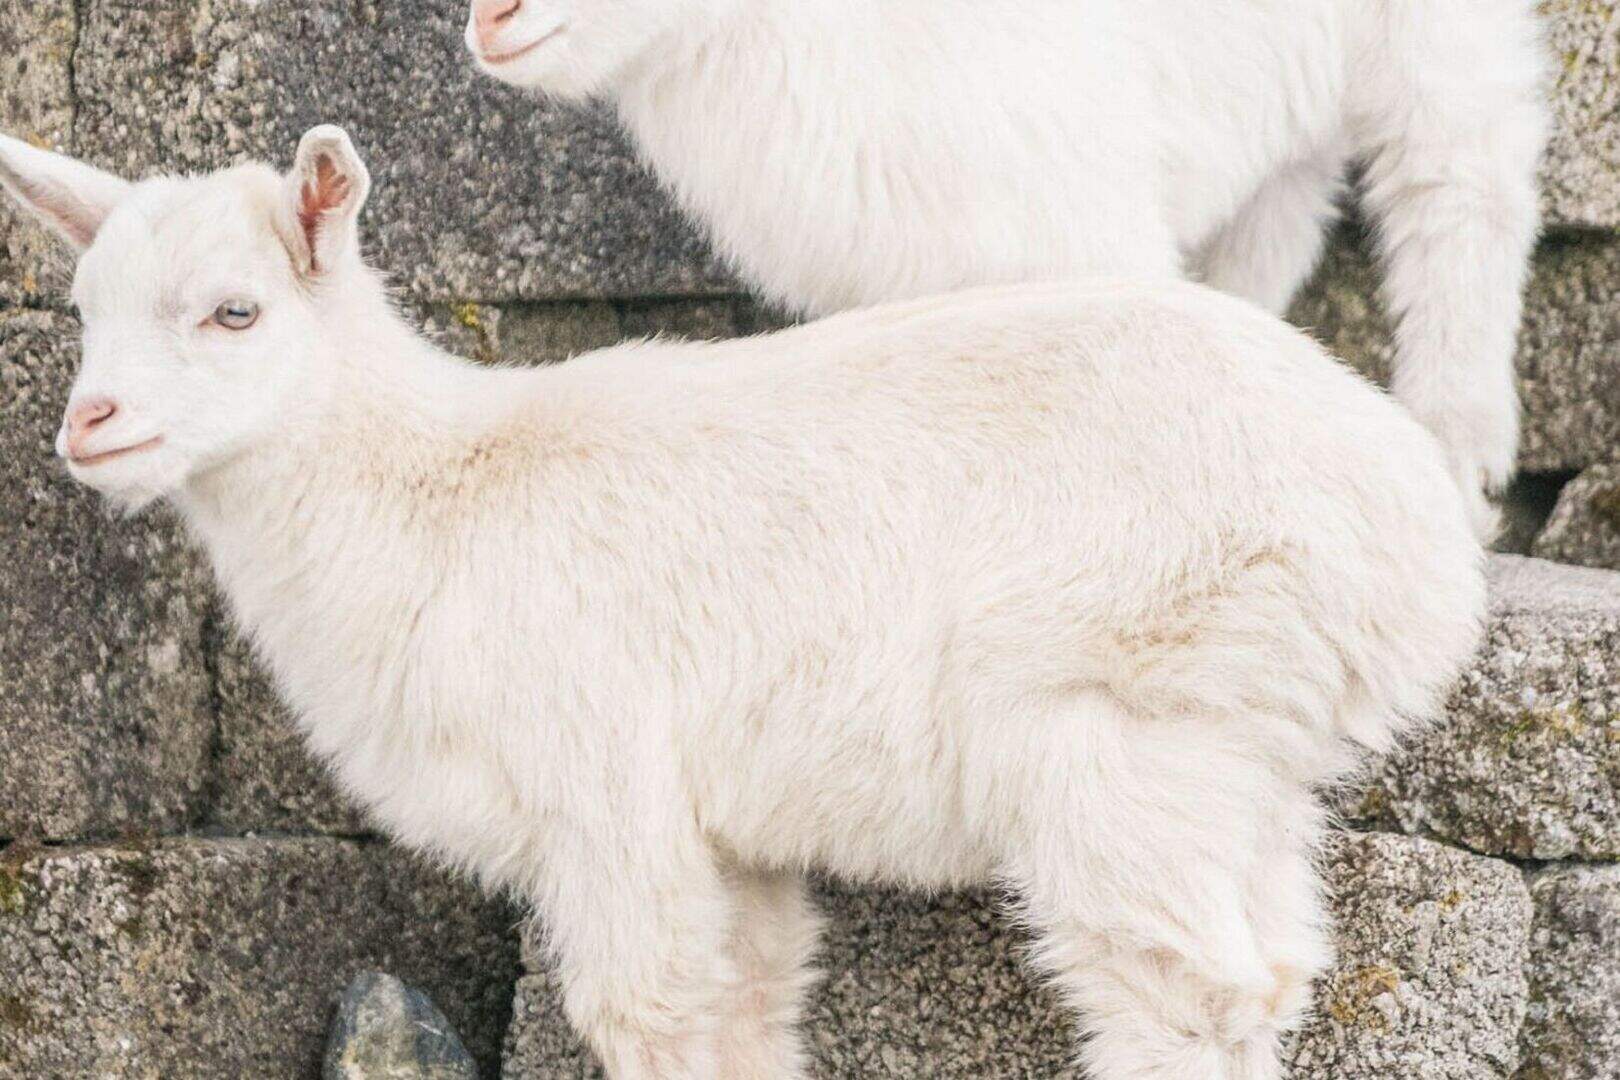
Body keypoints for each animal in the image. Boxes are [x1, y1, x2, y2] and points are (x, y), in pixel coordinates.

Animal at [0, 126, 1485, 1080]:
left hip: (1132, 710)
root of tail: (1423, 546)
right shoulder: (727, 833)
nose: (92, 426)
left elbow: (651, 1014)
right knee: (1270, 971)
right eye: (81, 310)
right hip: (1246, 742)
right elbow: (751, 1009)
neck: (438, 501)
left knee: (1179, 990)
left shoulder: (606, 780)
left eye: (236, 312)